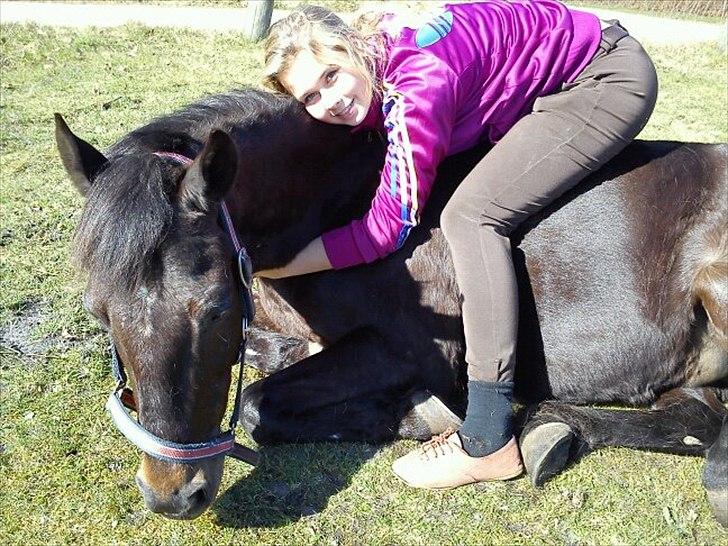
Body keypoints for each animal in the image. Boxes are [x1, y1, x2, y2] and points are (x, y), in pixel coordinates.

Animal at [55, 87, 728, 523]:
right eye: (99, 313)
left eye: (216, 307)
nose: (171, 495)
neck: (335, 200)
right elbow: (271, 362)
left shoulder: (410, 349)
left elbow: (255, 405)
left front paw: (420, 414)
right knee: (694, 416)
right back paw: (554, 431)